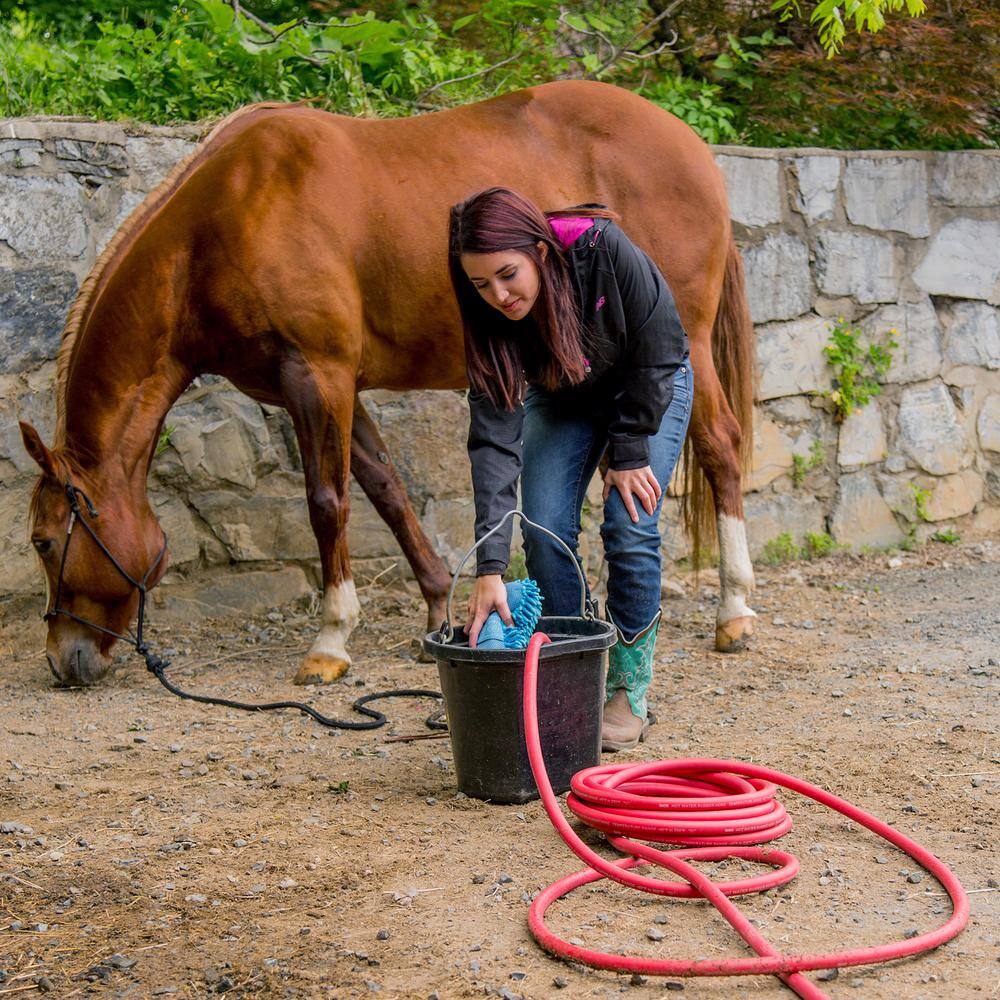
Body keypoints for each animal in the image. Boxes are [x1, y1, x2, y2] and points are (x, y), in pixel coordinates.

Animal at [19, 82, 752, 688]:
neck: (229, 216)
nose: (62, 661)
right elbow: (387, 492)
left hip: (683, 342)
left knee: (720, 449)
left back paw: (735, 611)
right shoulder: (326, 388)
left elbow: (328, 504)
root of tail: (694, 149)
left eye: (44, 541)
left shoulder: (319, 375)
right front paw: (435, 609)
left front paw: (331, 640)